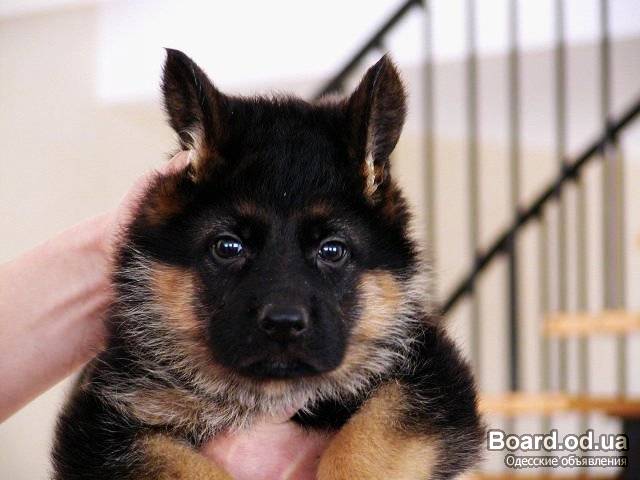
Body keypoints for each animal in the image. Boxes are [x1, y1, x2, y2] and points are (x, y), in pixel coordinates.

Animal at [52, 49, 484, 479]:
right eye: (228, 247)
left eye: (332, 251)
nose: (283, 324)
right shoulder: (99, 430)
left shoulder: (432, 377)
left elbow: (367, 439)